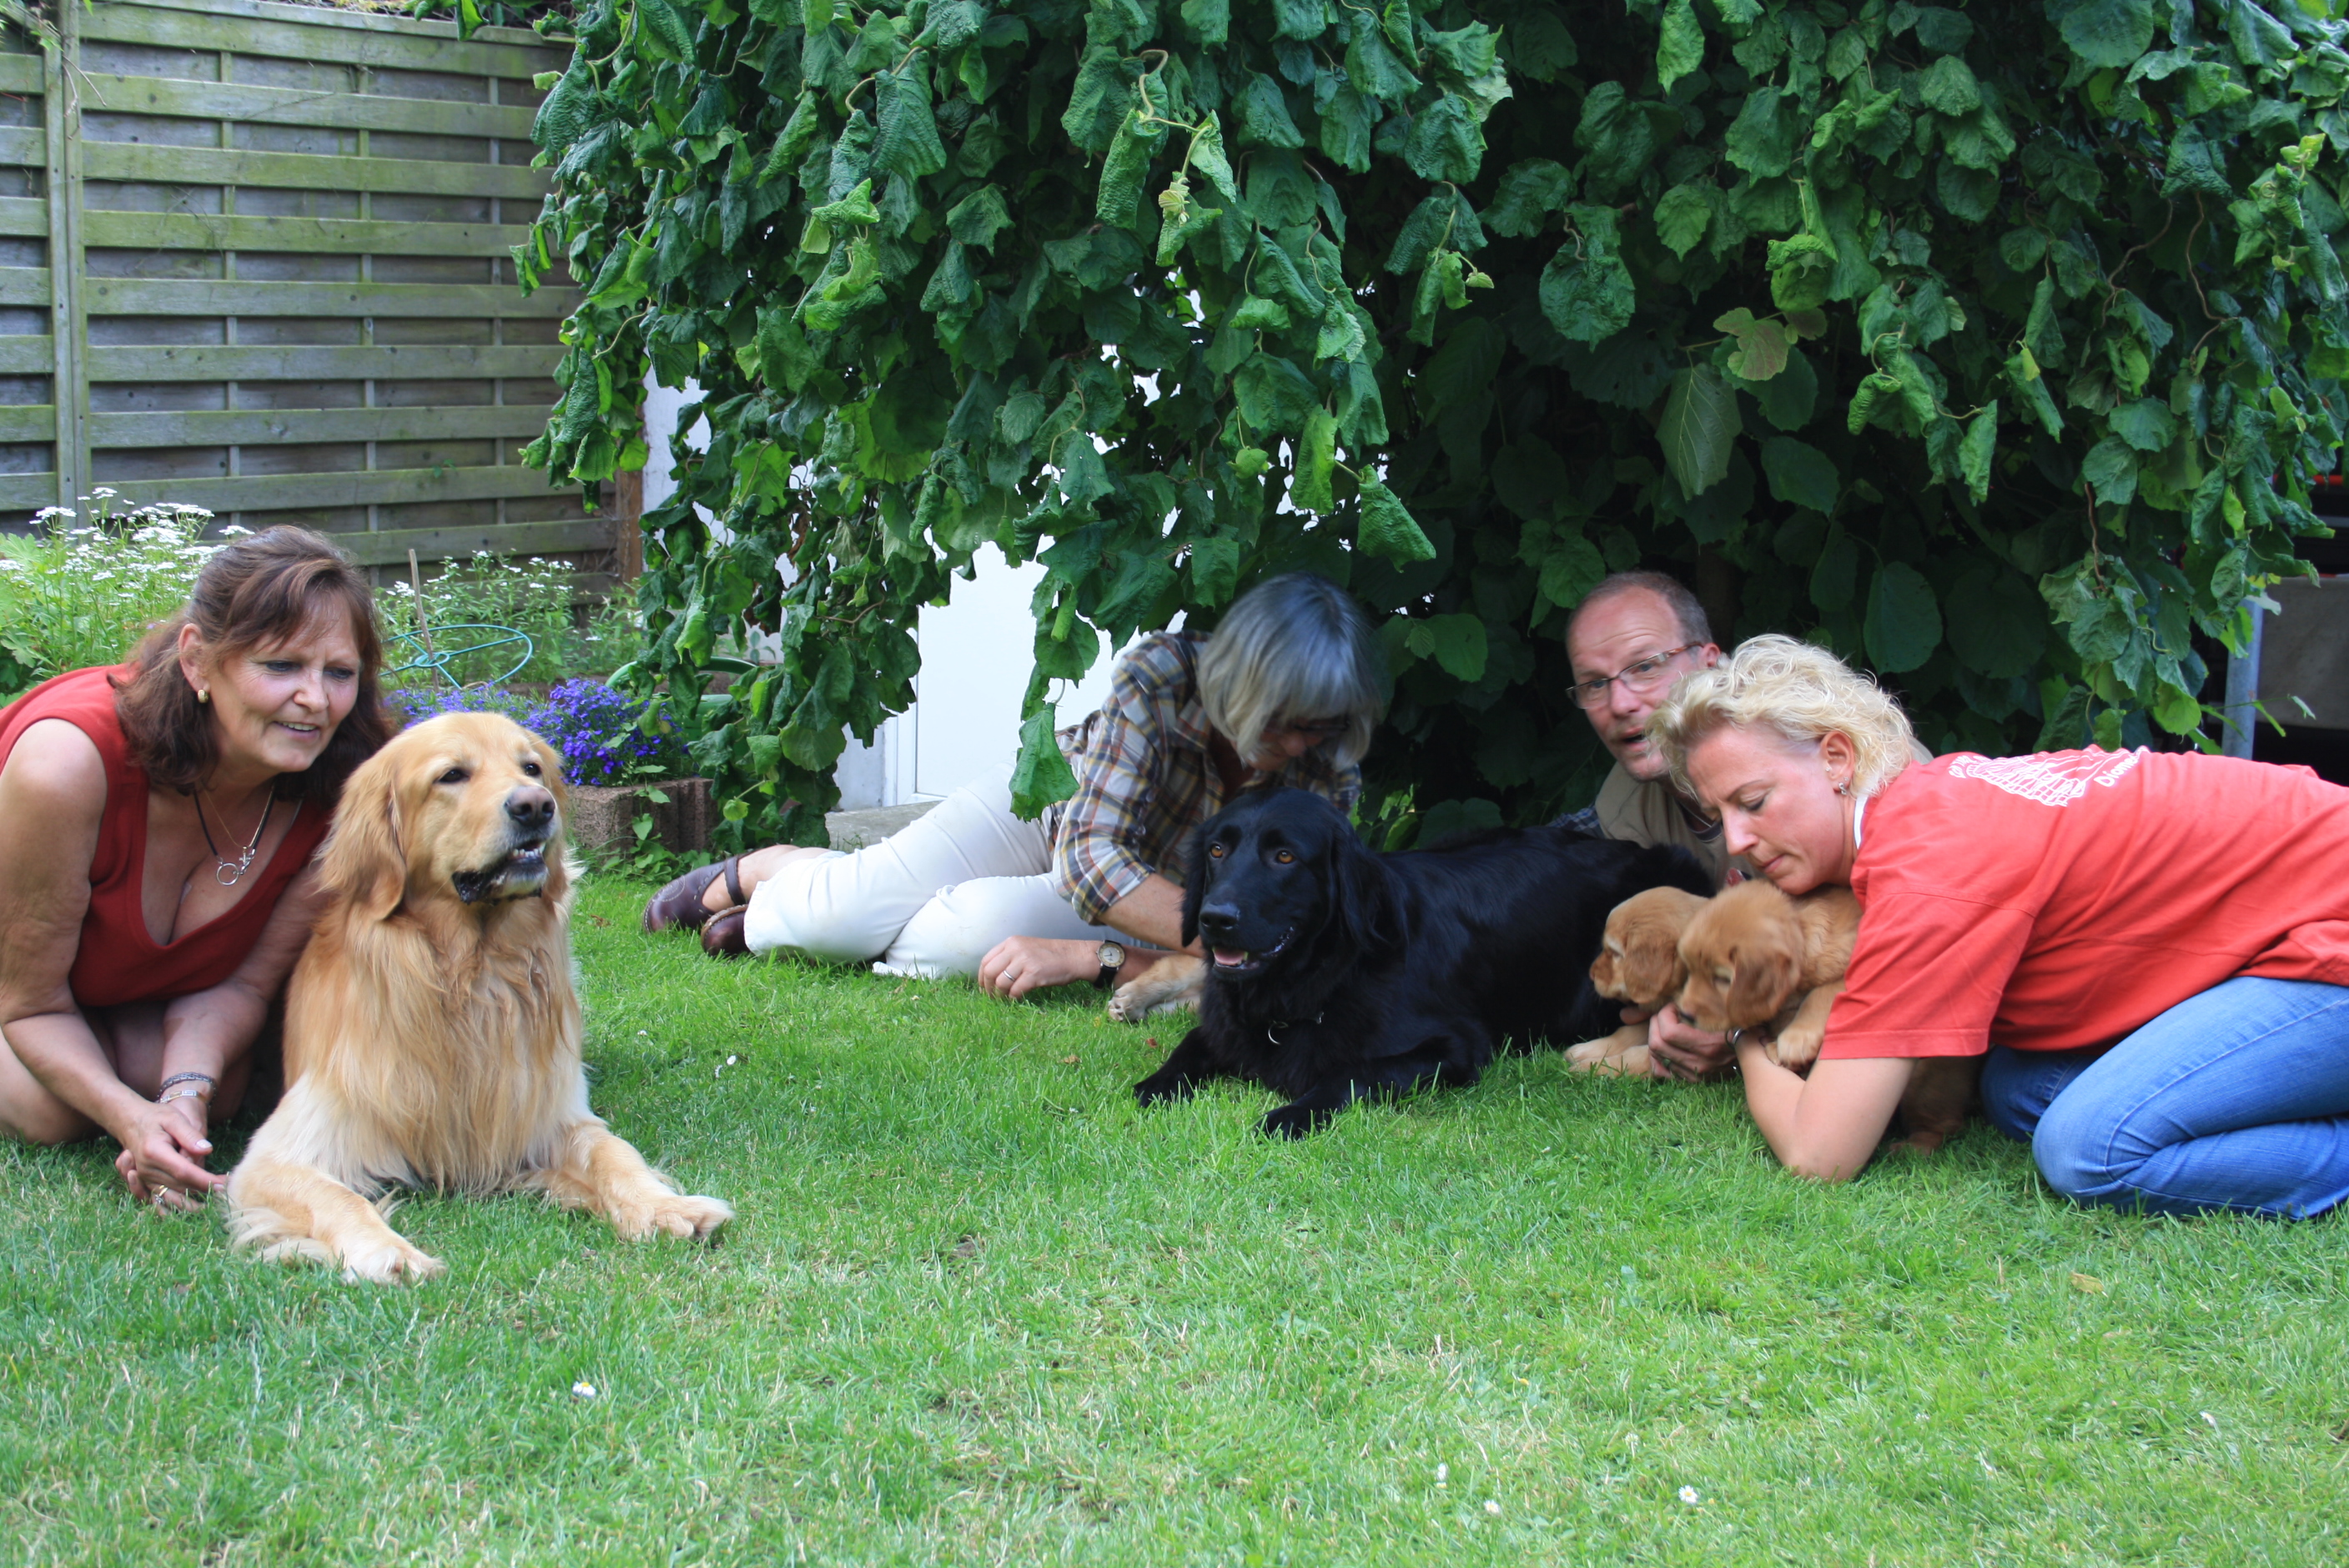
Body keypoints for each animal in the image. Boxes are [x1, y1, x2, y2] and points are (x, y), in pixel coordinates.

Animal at [224, 712, 733, 1283]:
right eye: (451, 775)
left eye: (531, 768)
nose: (536, 805)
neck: (474, 975)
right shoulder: (279, 1152)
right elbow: (339, 1198)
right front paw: (389, 1252)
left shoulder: (551, 1114)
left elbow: (614, 1154)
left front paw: (665, 1206)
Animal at [1564, 887, 1714, 1078]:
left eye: (1616, 953)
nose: (1591, 975)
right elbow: (1630, 1032)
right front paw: (1589, 1050)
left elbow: (1643, 1055)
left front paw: (1596, 1067)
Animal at [1672, 879, 1974, 1152]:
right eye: (1691, 969)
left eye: (1723, 979)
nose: (1684, 1013)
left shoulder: (1855, 972)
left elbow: (1821, 994)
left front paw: (1794, 1040)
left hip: (1925, 1083)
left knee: (1941, 1126)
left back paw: (1912, 1148)